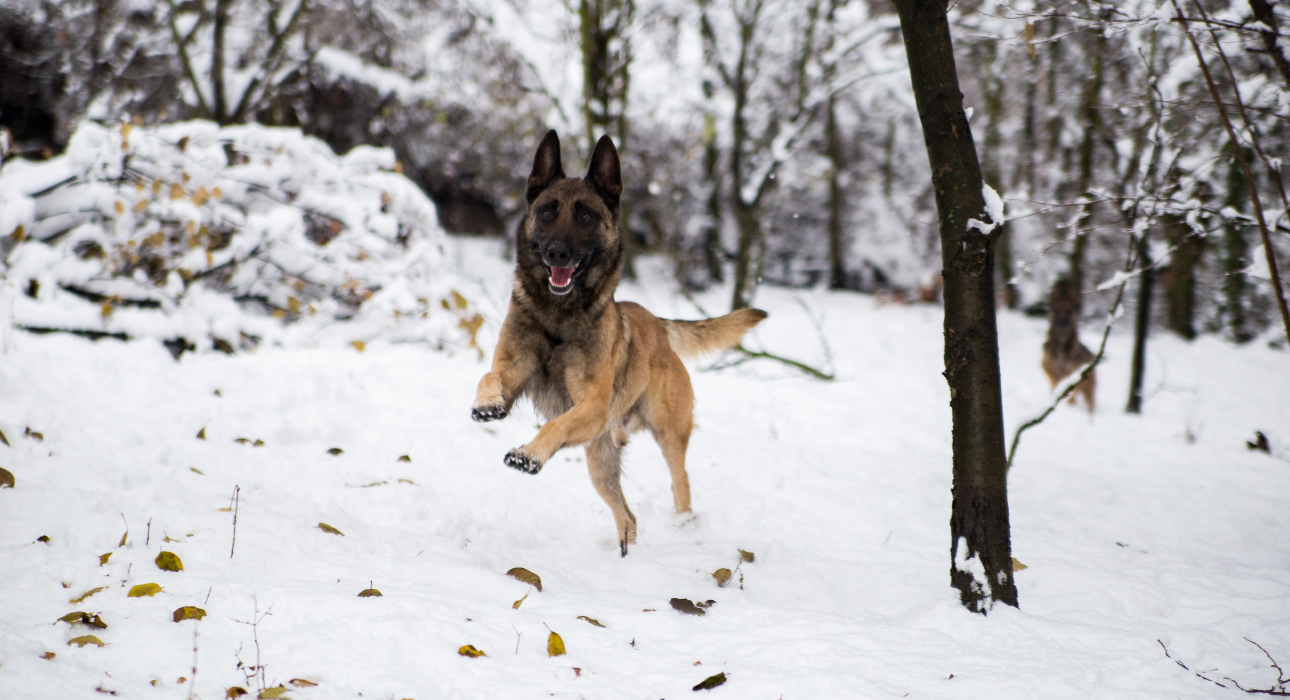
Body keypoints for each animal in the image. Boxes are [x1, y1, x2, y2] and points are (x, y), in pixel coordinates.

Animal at [469, 131, 758, 556]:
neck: (559, 315)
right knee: (629, 517)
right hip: (599, 461)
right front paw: (487, 403)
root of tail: (657, 324)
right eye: (547, 213)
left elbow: (554, 425)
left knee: (681, 483)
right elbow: (488, 377)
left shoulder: (590, 406)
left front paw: (528, 455)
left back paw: (683, 527)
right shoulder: (514, 368)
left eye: (586, 217)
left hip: (667, 435)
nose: (557, 252)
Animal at [1037, 278, 1099, 412]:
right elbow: (1055, 385)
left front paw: (1068, 402)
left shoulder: (1075, 375)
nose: (1061, 324)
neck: (1061, 343)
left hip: (1089, 390)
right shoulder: (1050, 370)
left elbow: (1073, 390)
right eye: (1057, 310)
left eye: (1068, 311)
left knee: (1089, 402)